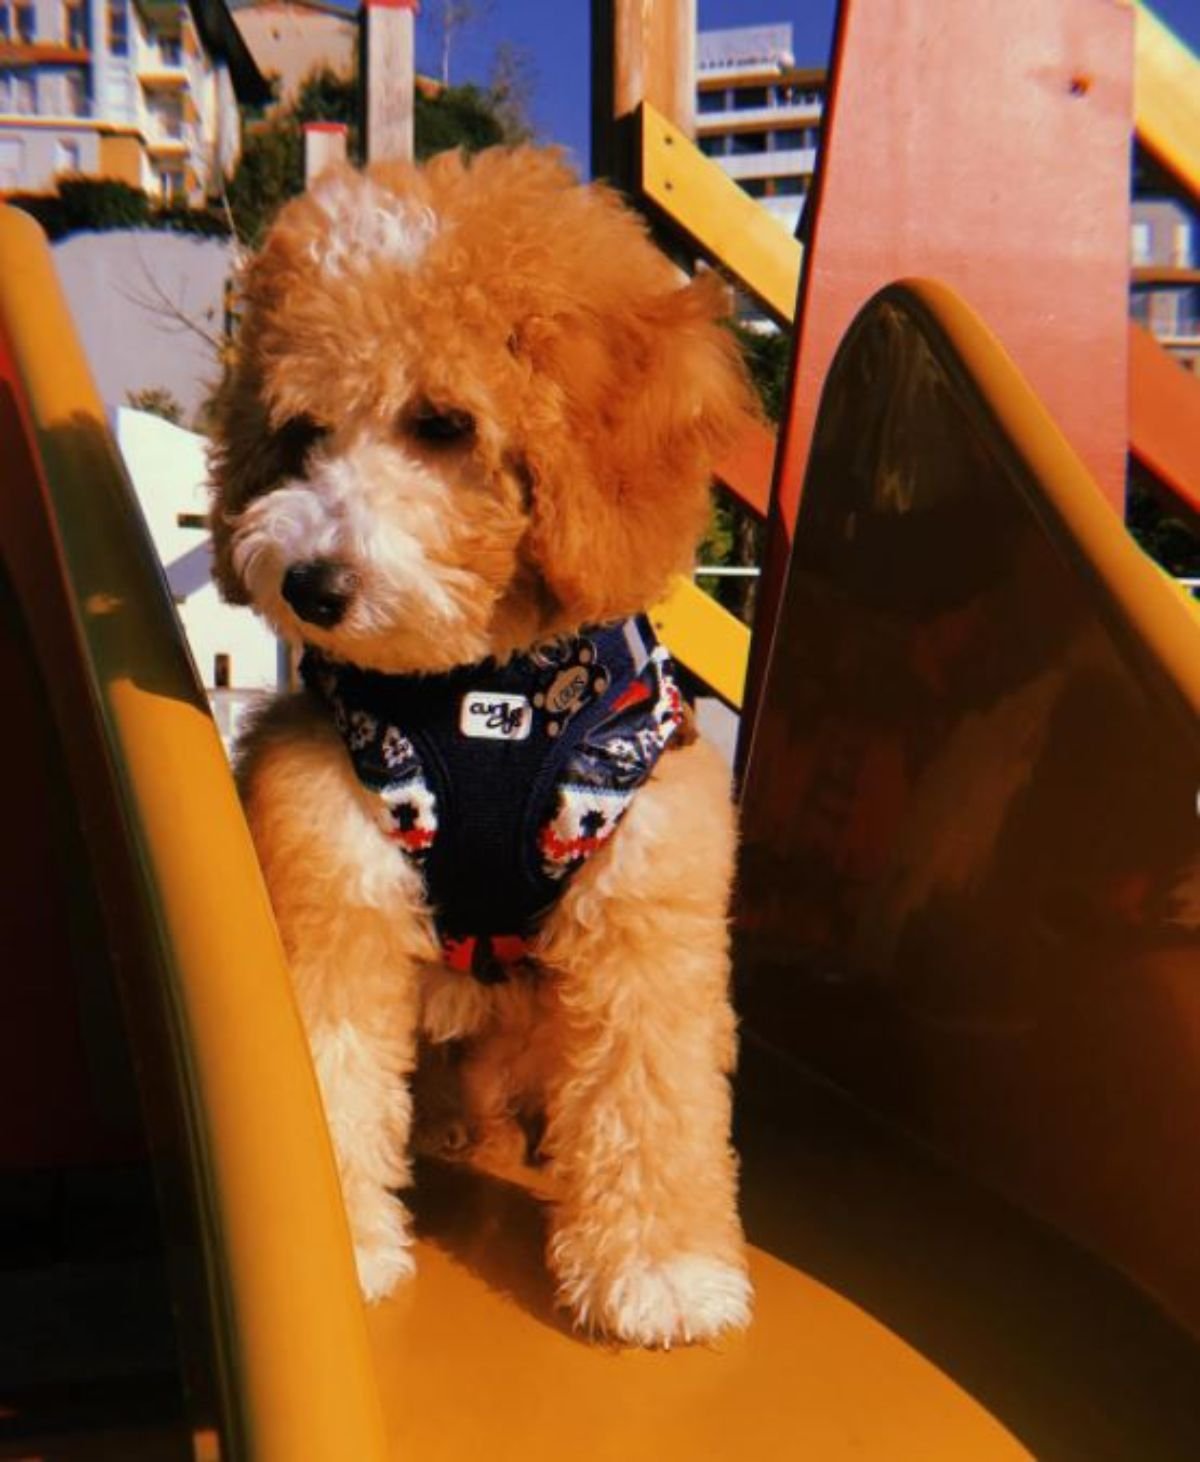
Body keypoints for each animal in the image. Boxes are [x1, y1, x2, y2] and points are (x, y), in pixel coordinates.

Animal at [206, 148, 748, 1345]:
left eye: (444, 424)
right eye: (303, 435)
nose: (310, 585)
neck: (486, 690)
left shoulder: (646, 888)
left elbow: (653, 1085)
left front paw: (663, 1267)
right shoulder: (333, 875)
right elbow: (331, 1070)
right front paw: (345, 1251)